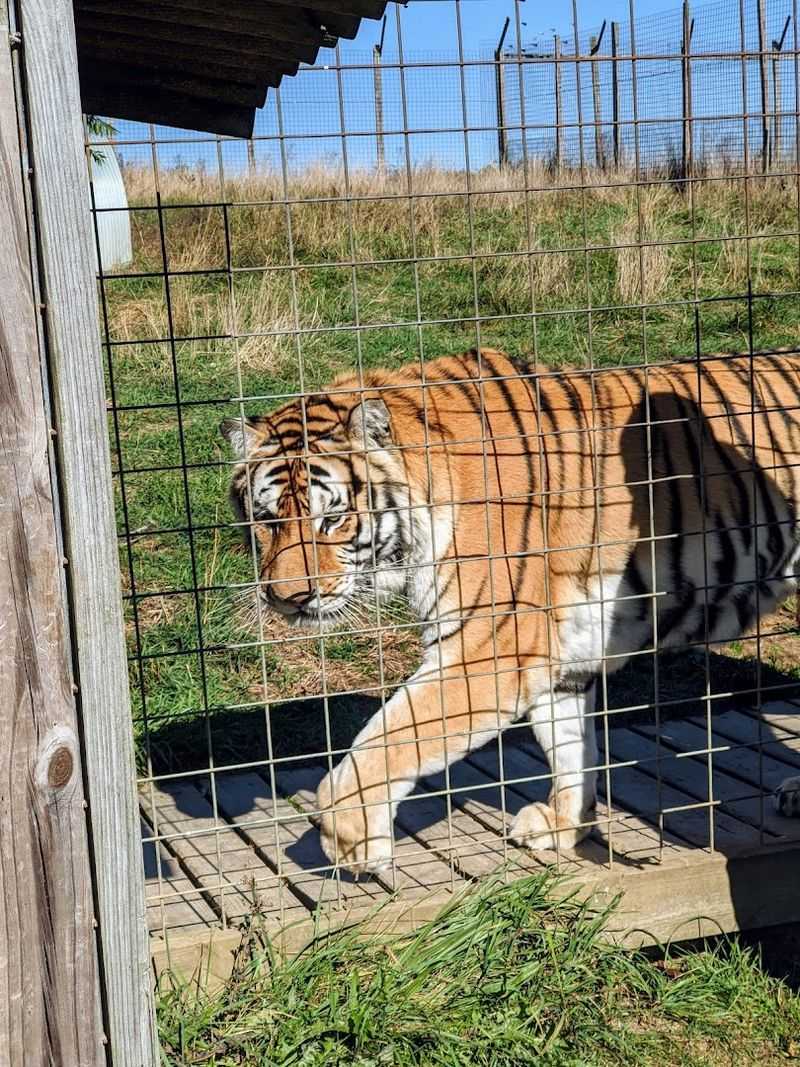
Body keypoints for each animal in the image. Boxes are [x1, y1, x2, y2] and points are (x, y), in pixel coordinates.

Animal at [222, 346, 800, 872]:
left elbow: (390, 736)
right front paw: (565, 827)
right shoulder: (559, 653)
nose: (287, 598)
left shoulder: (489, 652)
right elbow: (568, 746)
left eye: (332, 520)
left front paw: (351, 837)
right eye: (267, 519)